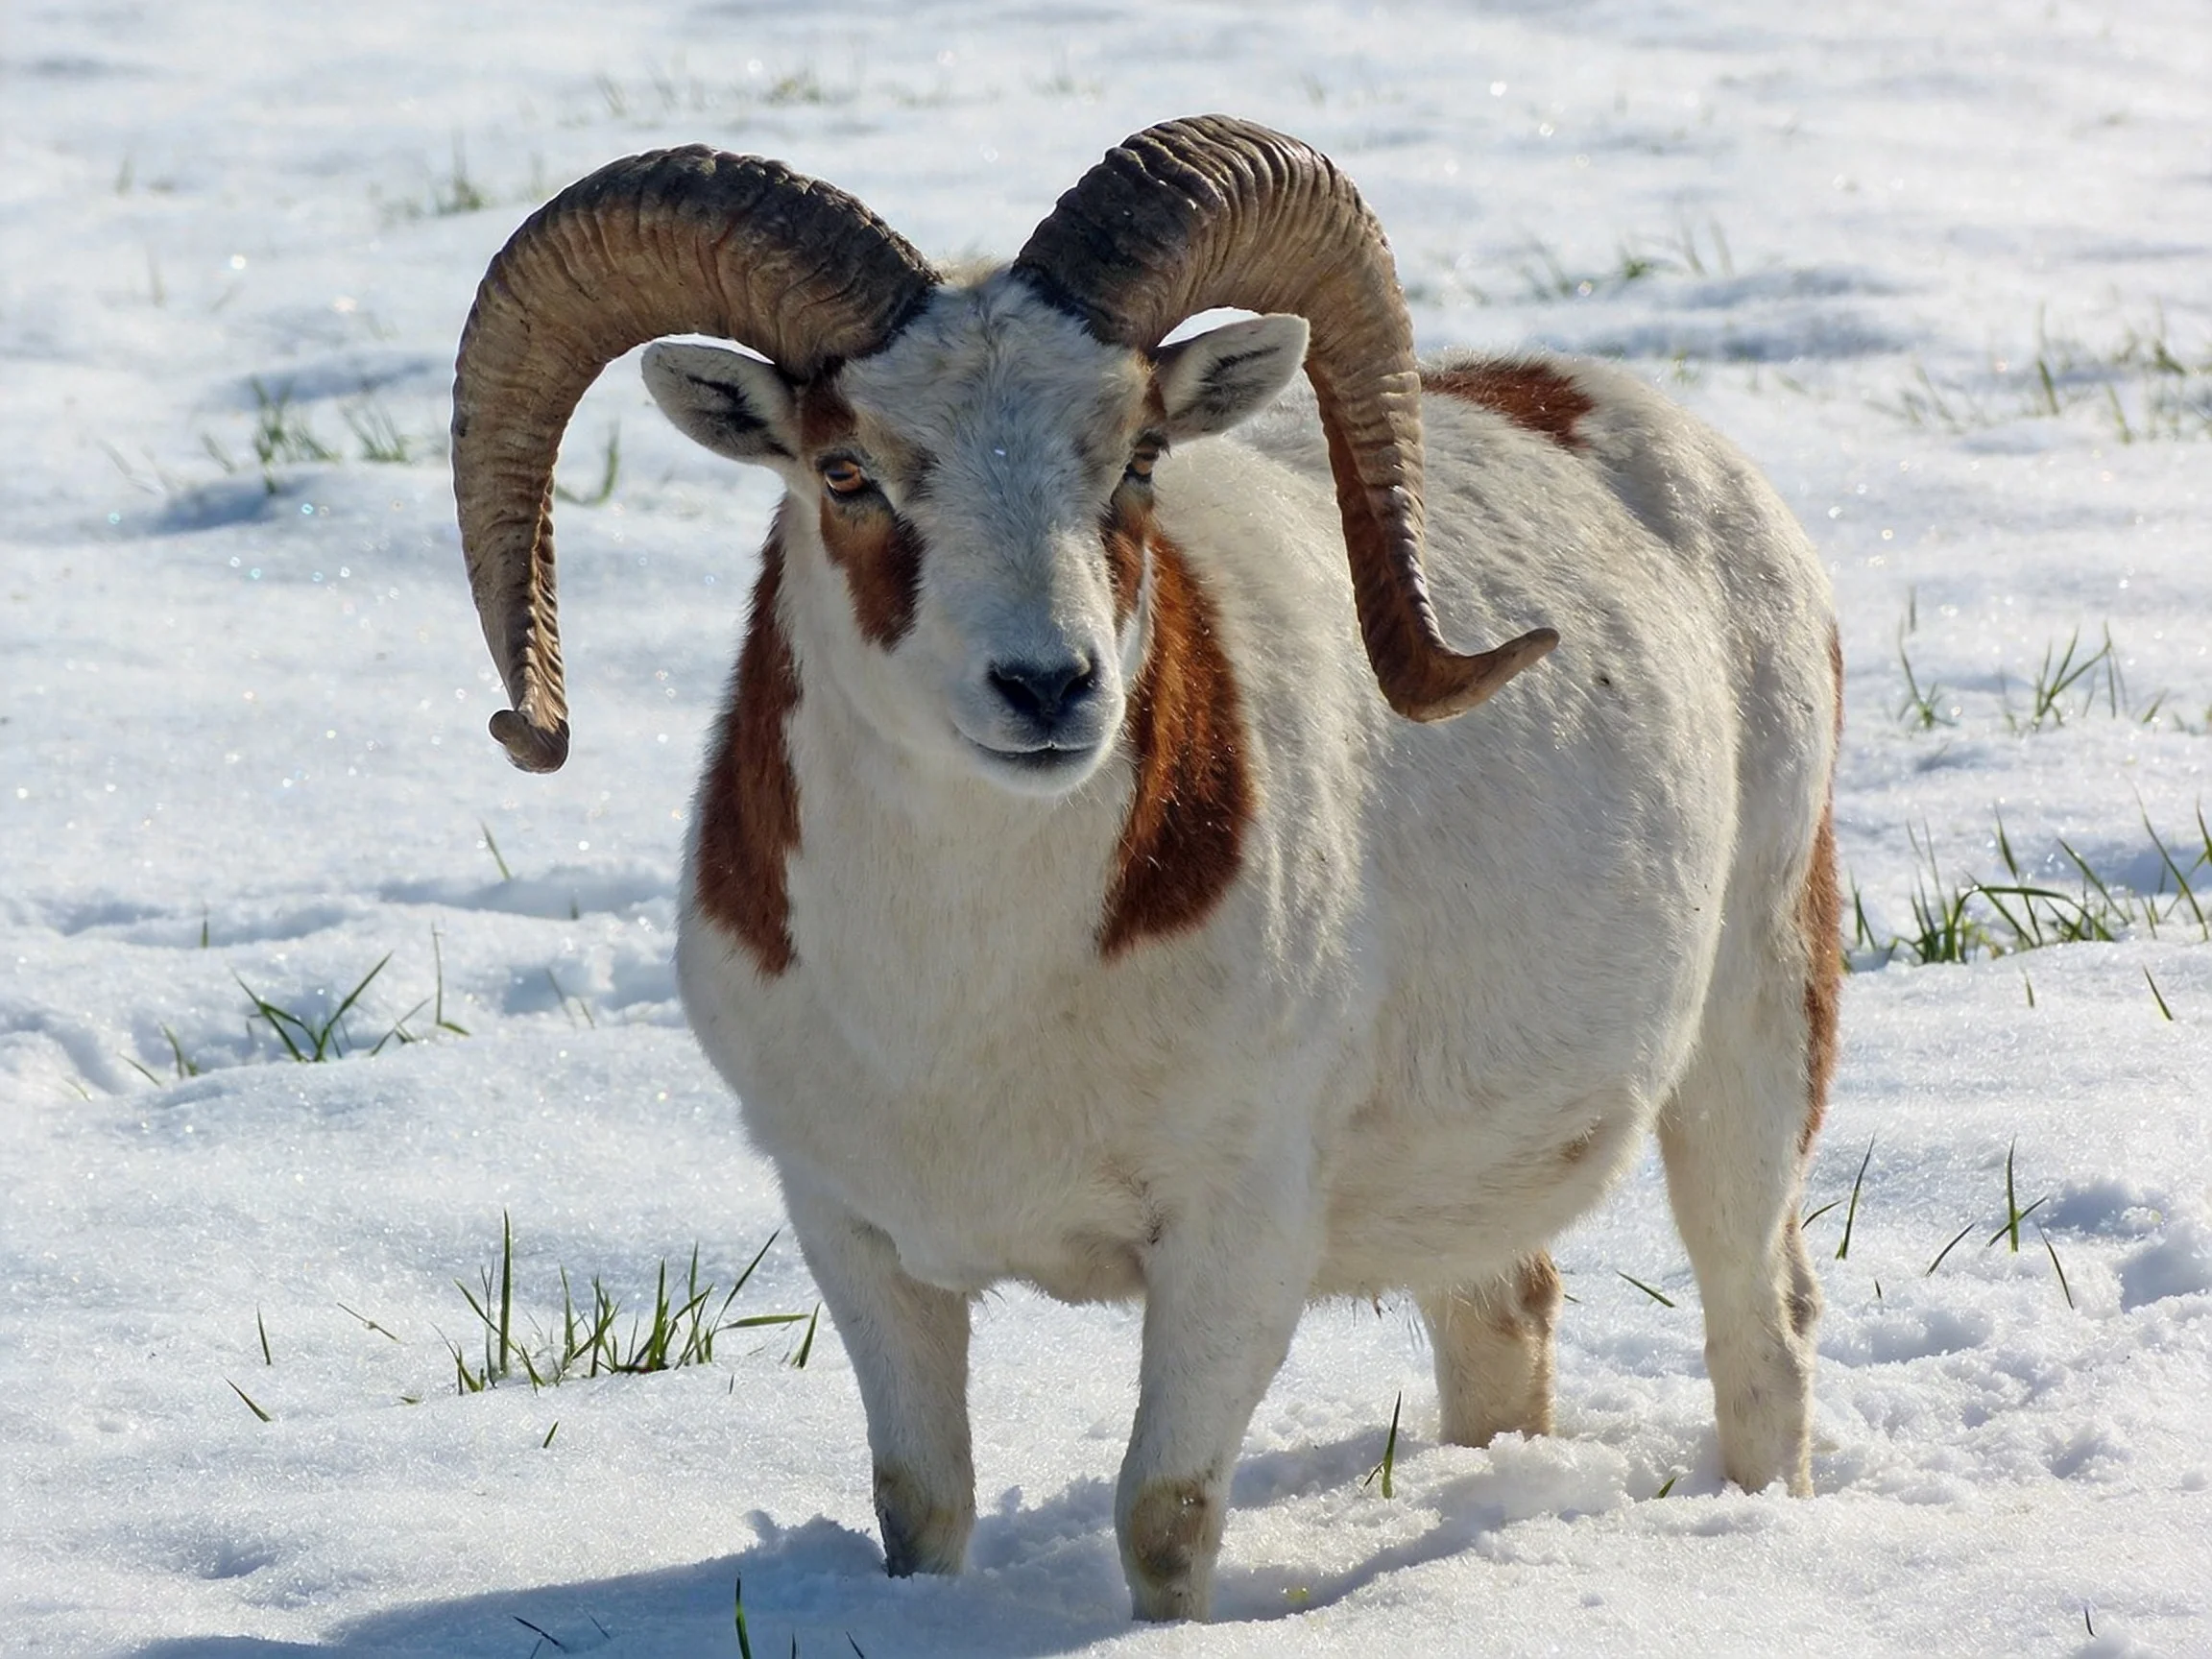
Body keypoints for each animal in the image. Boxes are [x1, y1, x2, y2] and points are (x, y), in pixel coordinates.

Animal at [451, 115, 1840, 1622]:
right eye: (846, 472)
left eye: (1136, 458)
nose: (1049, 688)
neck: (965, 1006)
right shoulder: (856, 1237)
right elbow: (922, 1505)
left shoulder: (1234, 1239)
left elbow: (1162, 1519)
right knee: (1503, 1328)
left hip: (1753, 1047)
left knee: (1760, 1328)